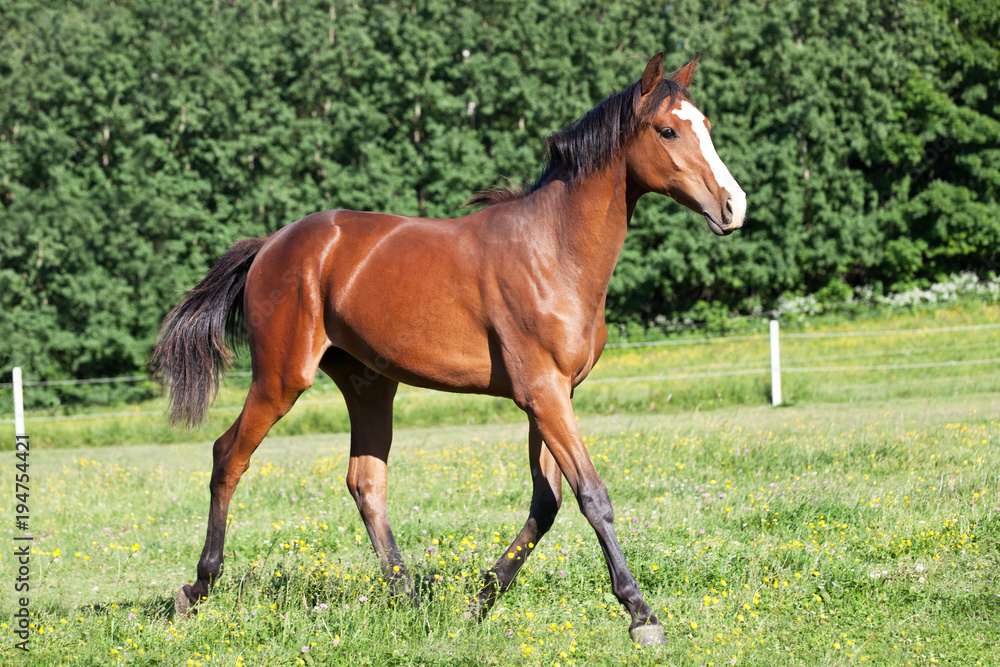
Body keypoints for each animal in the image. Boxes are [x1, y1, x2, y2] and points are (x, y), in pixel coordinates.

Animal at [154, 53, 744, 648]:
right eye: (667, 130)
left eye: (706, 124)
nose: (733, 206)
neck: (553, 250)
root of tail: (269, 246)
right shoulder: (543, 392)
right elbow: (592, 497)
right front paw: (641, 615)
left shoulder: (555, 394)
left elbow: (547, 502)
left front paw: (478, 604)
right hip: (282, 378)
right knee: (229, 457)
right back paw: (197, 589)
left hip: (370, 385)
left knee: (366, 483)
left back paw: (410, 602)